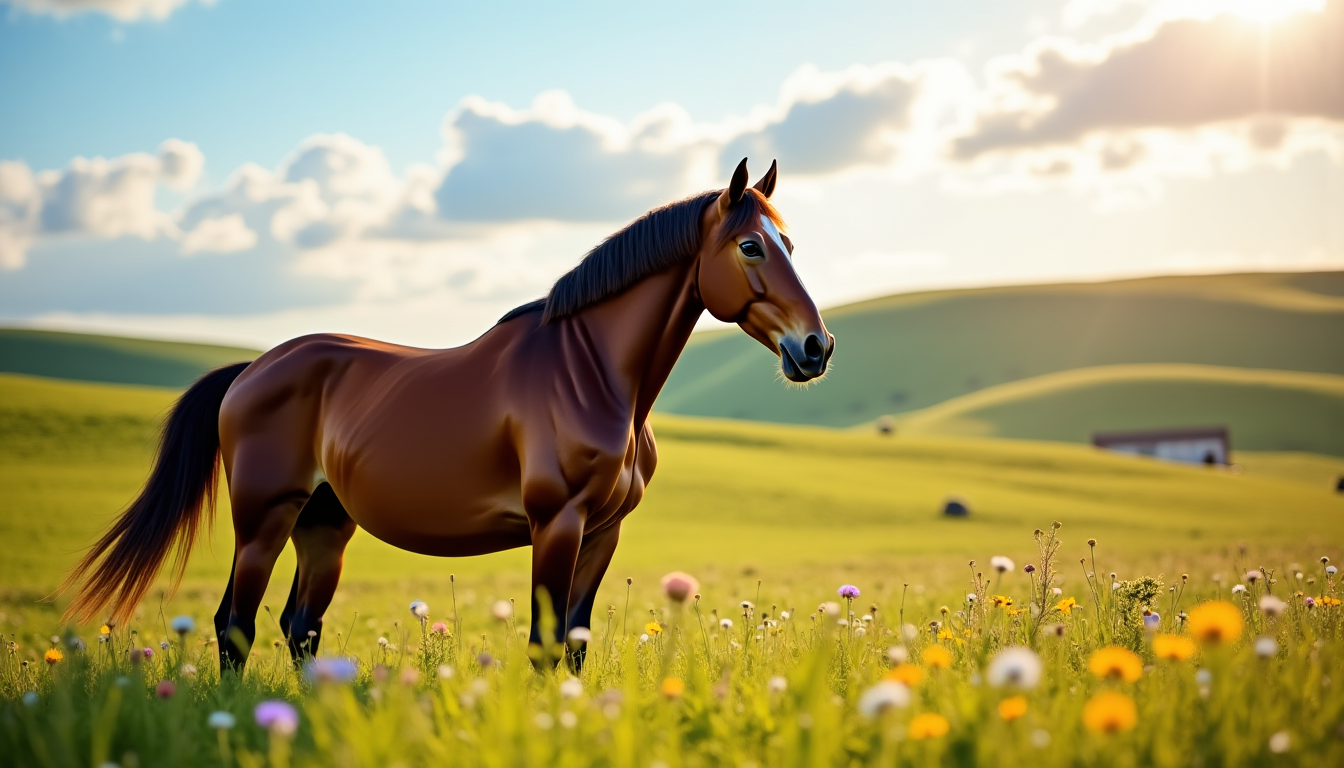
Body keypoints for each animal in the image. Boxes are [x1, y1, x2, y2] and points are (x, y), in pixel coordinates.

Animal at [62, 158, 835, 670]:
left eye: (791, 244)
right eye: (750, 245)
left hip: (324, 525)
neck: (591, 374)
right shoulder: (557, 524)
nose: (816, 347)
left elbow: (573, 647)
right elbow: (543, 644)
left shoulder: (604, 532)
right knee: (236, 625)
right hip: (264, 518)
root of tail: (251, 371)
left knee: (299, 625)